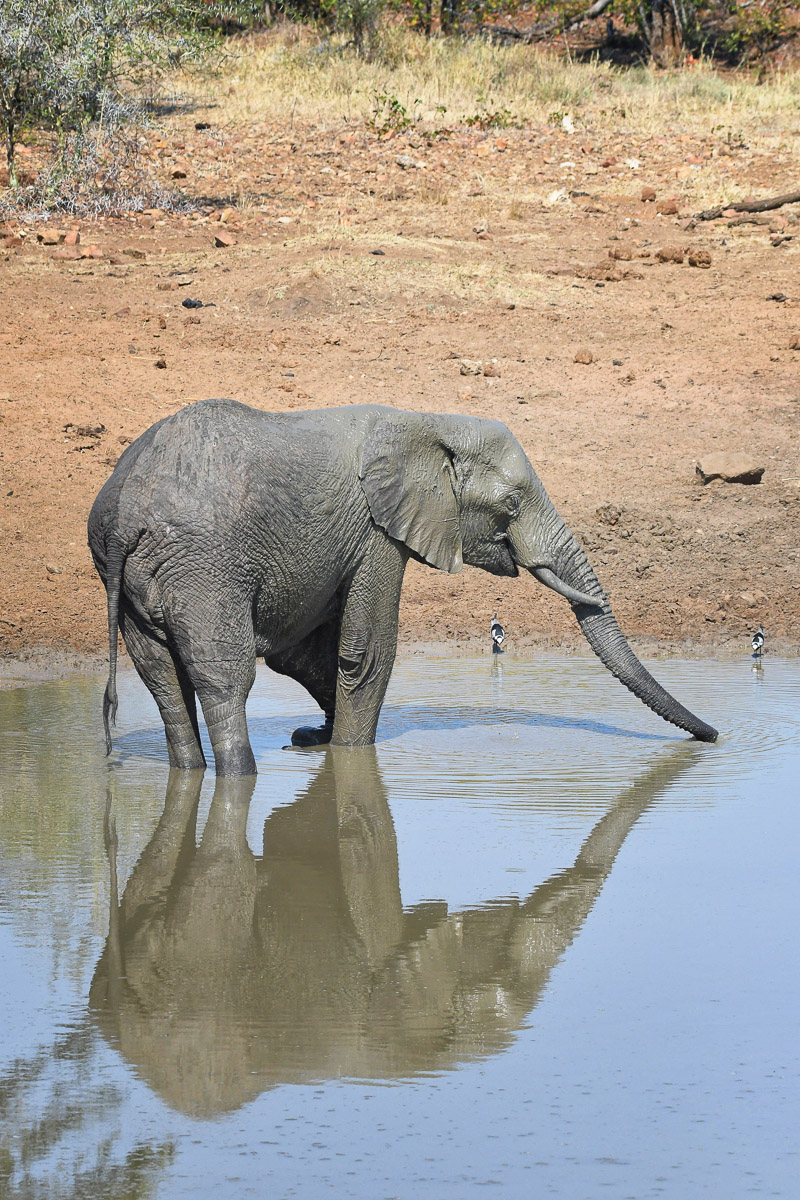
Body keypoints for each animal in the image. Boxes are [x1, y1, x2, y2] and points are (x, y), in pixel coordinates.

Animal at [88, 400, 717, 775]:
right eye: (512, 504)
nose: (714, 737)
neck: (428, 421)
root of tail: (123, 515)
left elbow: (308, 656)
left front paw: (317, 740)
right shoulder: (377, 532)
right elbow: (365, 652)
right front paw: (348, 759)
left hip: (139, 578)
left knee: (164, 681)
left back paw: (192, 772)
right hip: (203, 567)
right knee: (225, 680)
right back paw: (241, 774)